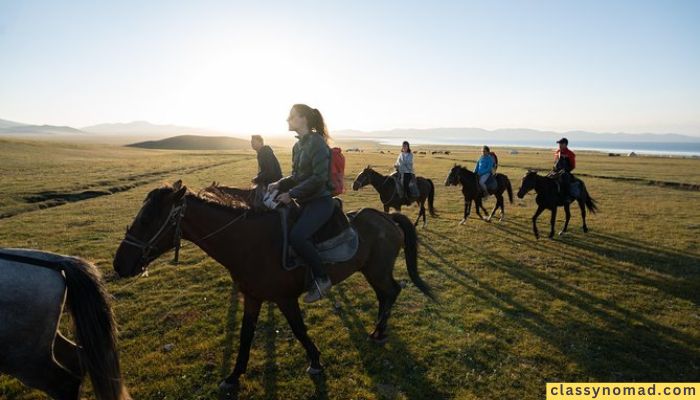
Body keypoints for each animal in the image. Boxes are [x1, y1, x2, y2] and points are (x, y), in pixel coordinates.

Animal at [113, 181, 434, 394]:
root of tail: (387, 217)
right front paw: (233, 376)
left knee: (392, 292)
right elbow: (245, 336)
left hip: (377, 270)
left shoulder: (285, 299)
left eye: (147, 218)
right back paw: (379, 331)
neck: (249, 243)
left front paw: (315, 361)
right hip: (372, 270)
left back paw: (377, 331)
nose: (119, 263)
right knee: (386, 294)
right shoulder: (252, 297)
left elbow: (299, 330)